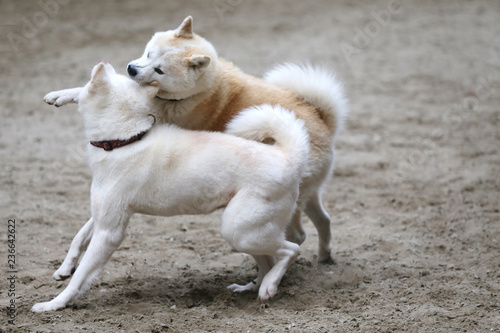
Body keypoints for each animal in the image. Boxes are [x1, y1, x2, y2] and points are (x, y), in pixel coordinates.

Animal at [32, 61, 308, 312]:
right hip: (245, 232)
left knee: (290, 250)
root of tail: (287, 157)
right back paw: (251, 286)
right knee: (268, 260)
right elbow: (78, 237)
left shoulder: (109, 232)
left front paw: (55, 304)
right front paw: (65, 268)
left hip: (239, 230)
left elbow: (81, 276)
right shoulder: (106, 214)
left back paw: (269, 287)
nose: (106, 62)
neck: (126, 140)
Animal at [44, 16, 348, 264]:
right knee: (324, 220)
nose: (131, 69)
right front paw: (61, 95)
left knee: (296, 235)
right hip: (308, 195)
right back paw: (324, 255)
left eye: (160, 70)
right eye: (149, 53)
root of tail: (324, 123)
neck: (200, 90)